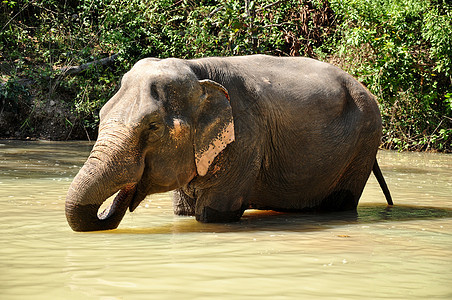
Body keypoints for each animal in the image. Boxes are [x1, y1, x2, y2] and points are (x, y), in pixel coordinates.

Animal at [65, 54, 394, 232]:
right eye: (101, 114)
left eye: (153, 127)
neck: (197, 71)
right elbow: (183, 212)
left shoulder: (246, 140)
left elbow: (213, 214)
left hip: (364, 143)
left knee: (342, 202)